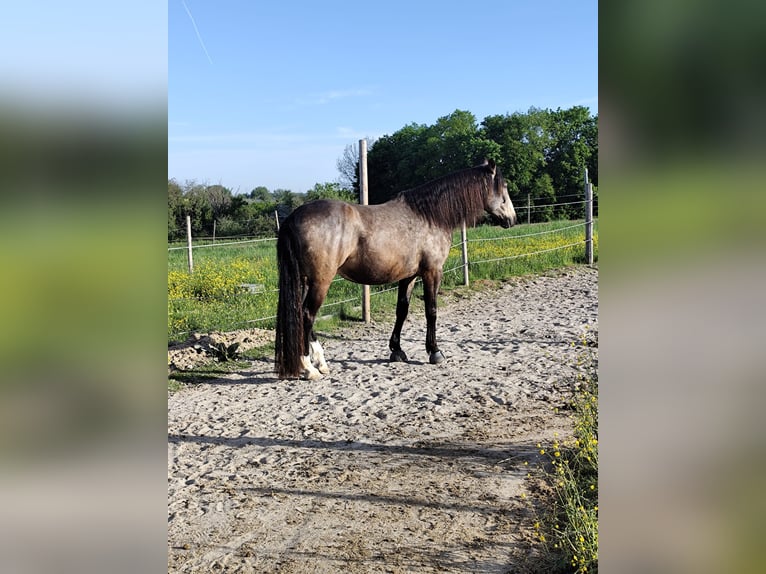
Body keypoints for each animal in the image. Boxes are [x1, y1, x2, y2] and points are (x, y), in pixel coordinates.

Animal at [274, 159, 517, 380]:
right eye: (503, 187)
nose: (512, 219)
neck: (430, 216)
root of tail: (293, 217)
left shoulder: (408, 276)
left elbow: (402, 310)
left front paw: (397, 351)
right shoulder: (432, 272)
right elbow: (431, 310)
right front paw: (435, 352)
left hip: (306, 281)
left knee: (302, 315)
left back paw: (321, 363)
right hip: (321, 281)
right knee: (307, 315)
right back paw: (309, 368)